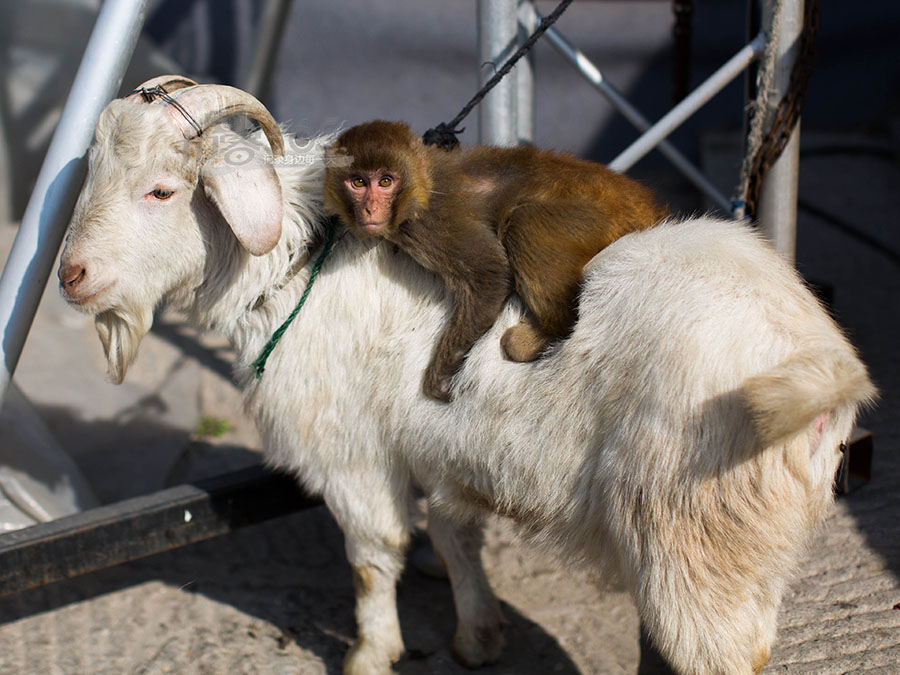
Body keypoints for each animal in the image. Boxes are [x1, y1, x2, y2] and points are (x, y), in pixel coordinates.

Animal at [326, 120, 668, 402]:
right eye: (358, 182)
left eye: (386, 181)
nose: (370, 209)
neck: (421, 182)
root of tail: (649, 209)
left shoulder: (432, 223)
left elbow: (488, 274)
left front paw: (440, 377)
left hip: (596, 220)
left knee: (524, 224)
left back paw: (544, 333)